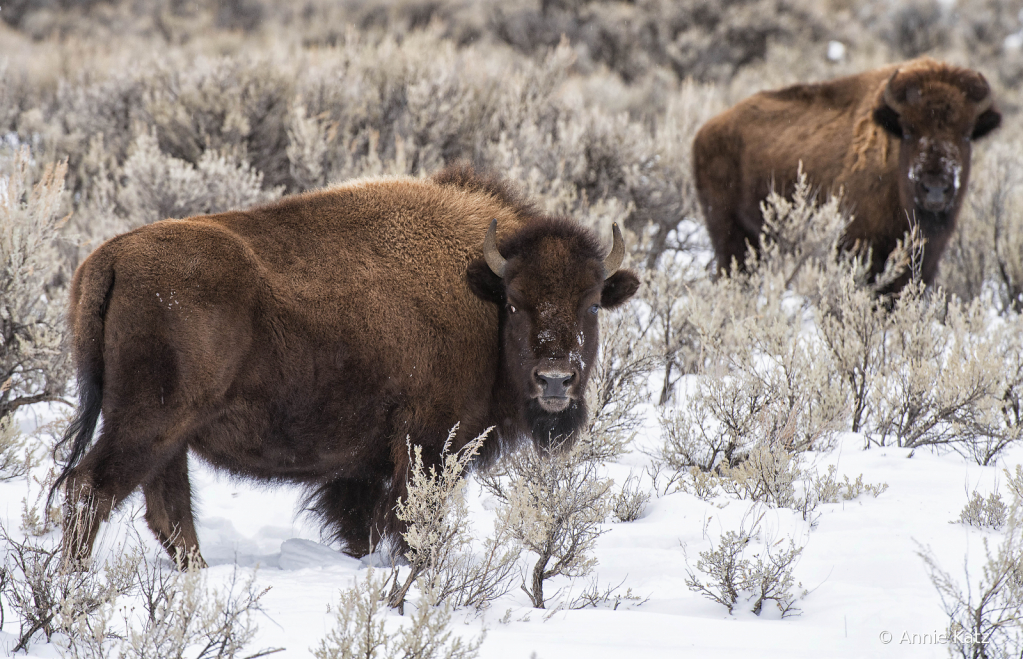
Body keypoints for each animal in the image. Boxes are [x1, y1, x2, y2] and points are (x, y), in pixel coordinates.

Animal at [51, 164, 638, 564]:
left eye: (591, 305)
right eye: (516, 302)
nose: (556, 380)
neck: (480, 289)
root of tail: (111, 257)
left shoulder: (366, 469)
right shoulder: (426, 445)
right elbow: (410, 524)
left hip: (169, 437)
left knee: (167, 512)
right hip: (147, 424)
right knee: (90, 490)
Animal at [695, 57, 998, 290]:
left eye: (966, 134)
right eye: (909, 131)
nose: (934, 189)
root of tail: (706, 131)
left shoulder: (924, 261)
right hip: (731, 237)